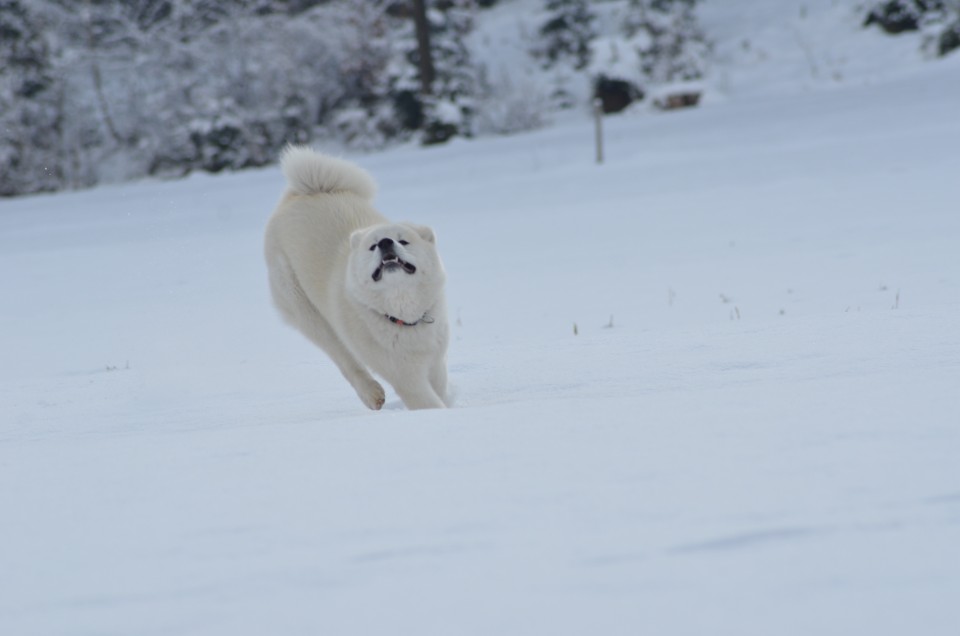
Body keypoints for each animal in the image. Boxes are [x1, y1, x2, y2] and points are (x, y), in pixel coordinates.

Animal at [262, 147, 450, 410]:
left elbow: (441, 390)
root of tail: (304, 193)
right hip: (308, 313)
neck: (402, 315)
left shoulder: (434, 360)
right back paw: (372, 394)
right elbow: (428, 402)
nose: (385, 242)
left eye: (403, 241)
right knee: (342, 357)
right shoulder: (404, 375)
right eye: (372, 246)